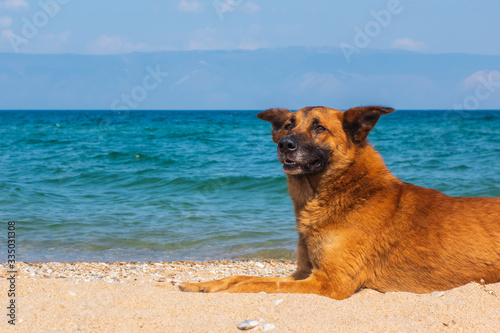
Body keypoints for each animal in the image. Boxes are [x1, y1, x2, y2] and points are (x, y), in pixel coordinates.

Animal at [181, 105, 500, 298]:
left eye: (320, 128)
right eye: (287, 126)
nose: (284, 145)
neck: (343, 191)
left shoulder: (329, 281)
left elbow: (254, 282)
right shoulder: (304, 272)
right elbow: (239, 276)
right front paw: (202, 284)